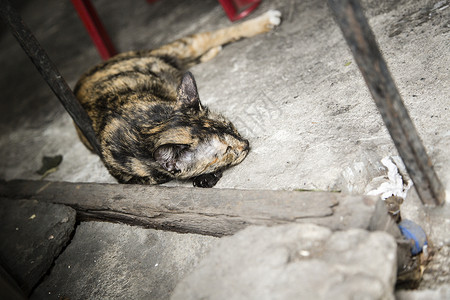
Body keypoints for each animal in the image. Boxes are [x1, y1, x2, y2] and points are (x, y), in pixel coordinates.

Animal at [74, 9, 282, 188]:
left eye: (231, 127)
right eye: (227, 151)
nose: (245, 143)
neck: (144, 128)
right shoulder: (132, 178)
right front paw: (205, 177)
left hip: (181, 48)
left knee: (212, 36)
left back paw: (267, 20)